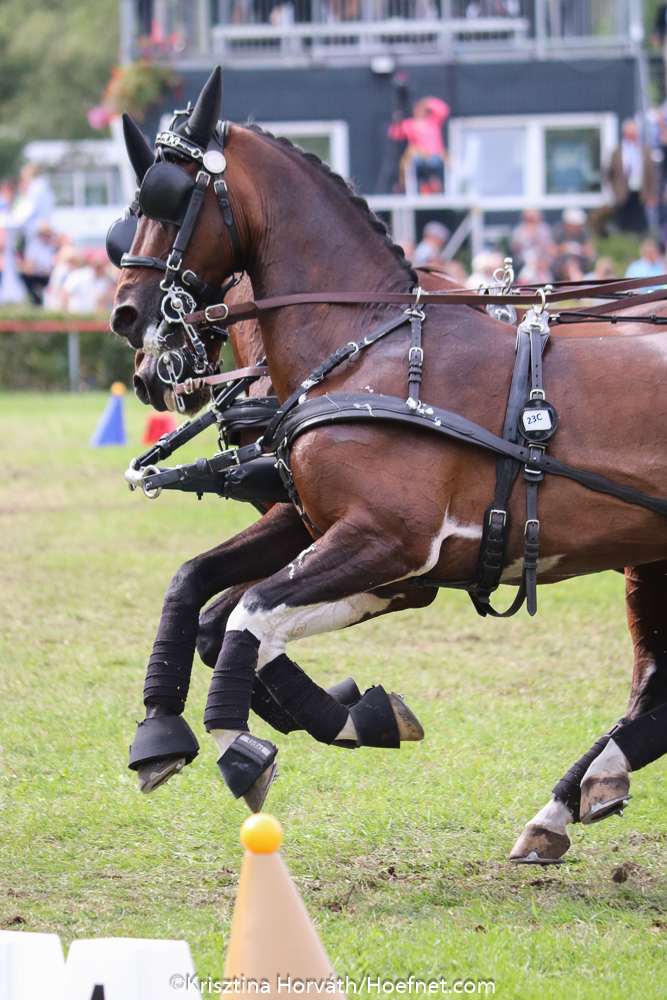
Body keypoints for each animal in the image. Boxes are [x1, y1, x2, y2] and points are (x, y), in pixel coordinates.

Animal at [111, 68, 667, 855]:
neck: (365, 346)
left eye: (165, 196)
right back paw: (568, 800)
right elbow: (207, 599)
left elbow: (248, 614)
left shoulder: (389, 543)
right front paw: (178, 728)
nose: (129, 320)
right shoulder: (376, 556)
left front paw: (237, 743)